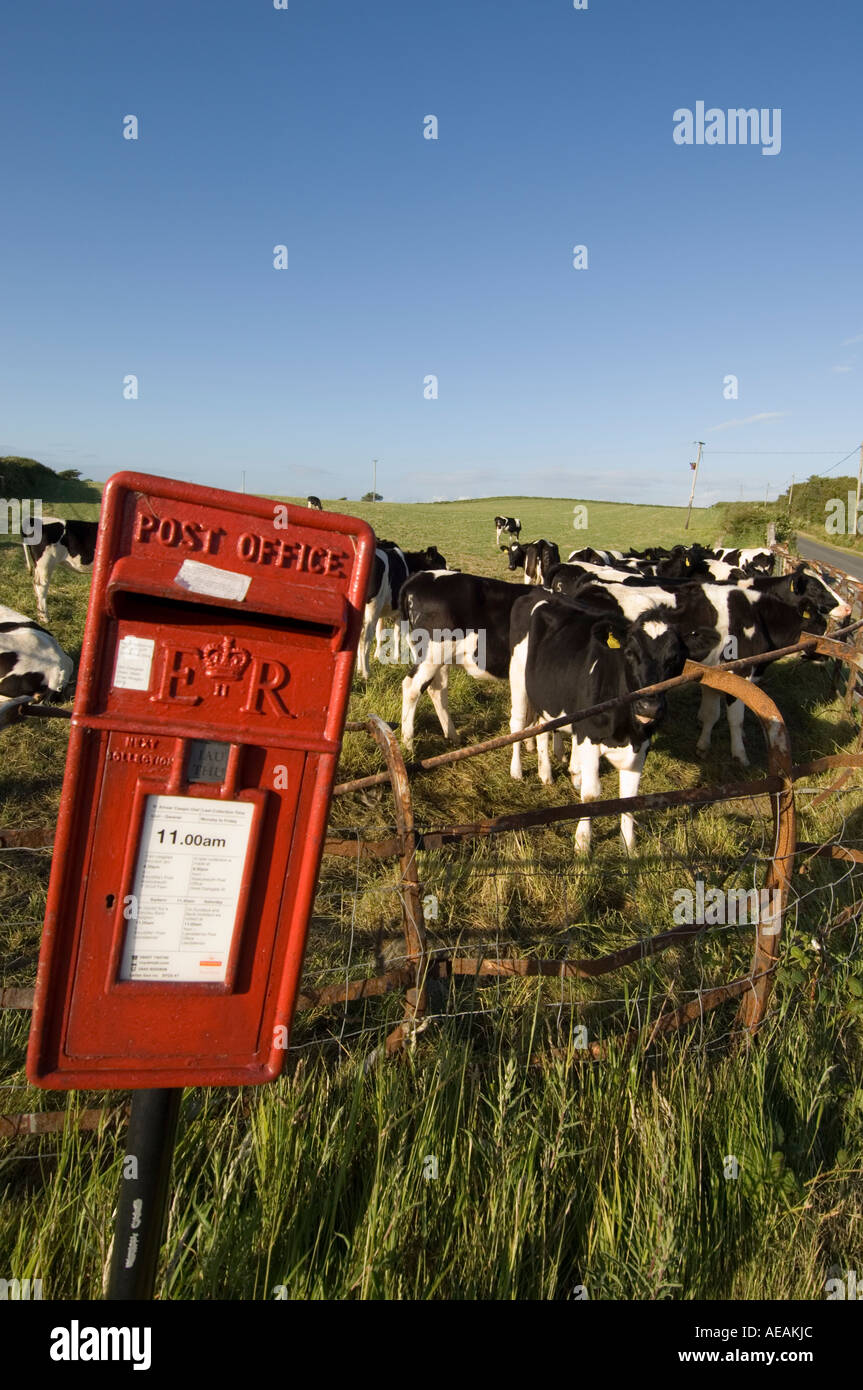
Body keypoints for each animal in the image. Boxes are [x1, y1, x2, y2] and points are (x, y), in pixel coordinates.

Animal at [361, 536, 447, 678]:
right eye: (441, 565)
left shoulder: (382, 612)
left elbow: (381, 634)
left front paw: (378, 655)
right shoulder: (401, 613)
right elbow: (403, 635)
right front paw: (404, 658)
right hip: (370, 609)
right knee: (365, 638)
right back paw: (365, 672)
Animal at [508, 592, 683, 850]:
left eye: (675, 658)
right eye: (630, 653)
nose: (649, 707)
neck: (625, 729)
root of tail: (540, 593)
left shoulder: (642, 744)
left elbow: (629, 798)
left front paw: (629, 846)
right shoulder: (589, 736)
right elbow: (591, 794)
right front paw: (582, 842)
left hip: (544, 692)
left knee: (543, 727)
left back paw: (546, 773)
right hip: (518, 678)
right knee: (518, 724)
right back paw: (517, 771)